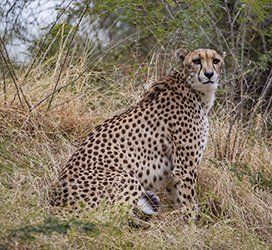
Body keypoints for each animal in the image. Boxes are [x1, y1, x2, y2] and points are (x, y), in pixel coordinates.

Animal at [51, 47, 225, 220]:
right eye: (196, 61)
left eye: (216, 61)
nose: (209, 74)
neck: (195, 91)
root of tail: (57, 202)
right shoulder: (184, 167)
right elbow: (188, 200)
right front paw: (192, 222)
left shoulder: (173, 170)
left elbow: (178, 197)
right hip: (126, 178)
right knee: (114, 214)